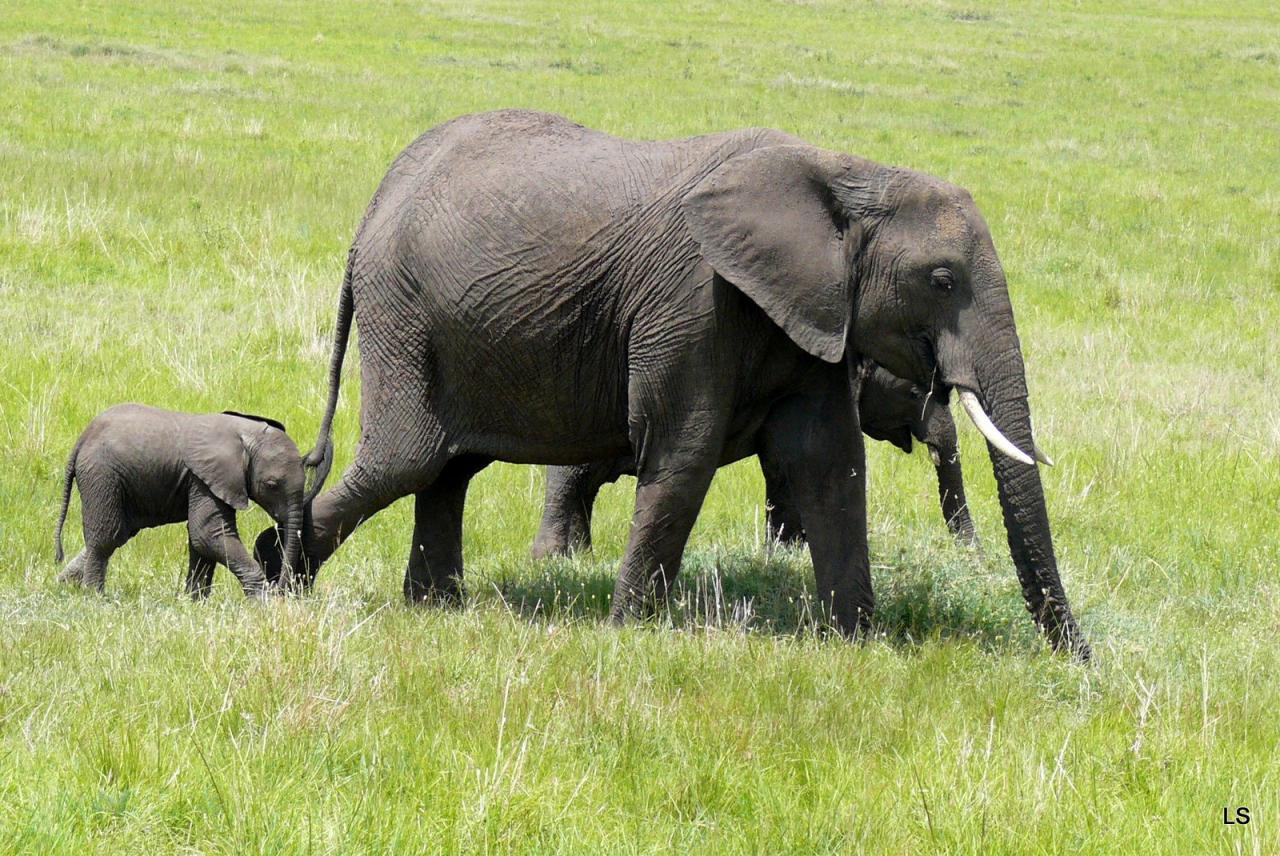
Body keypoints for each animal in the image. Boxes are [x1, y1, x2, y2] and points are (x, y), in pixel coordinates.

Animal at [55, 404, 307, 598]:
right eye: (271, 484)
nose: (282, 591)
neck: (243, 432)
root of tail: (82, 439)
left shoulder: (209, 480)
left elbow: (201, 541)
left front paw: (195, 602)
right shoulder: (205, 478)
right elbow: (207, 534)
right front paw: (264, 602)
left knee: (119, 533)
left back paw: (65, 586)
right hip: (102, 475)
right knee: (107, 537)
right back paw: (94, 596)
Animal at [529, 363, 977, 557]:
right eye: (915, 392)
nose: (976, 555)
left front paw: (790, 552)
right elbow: (785, 464)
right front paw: (788, 552)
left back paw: (580, 557)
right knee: (572, 482)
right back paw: (553, 559)